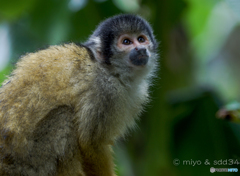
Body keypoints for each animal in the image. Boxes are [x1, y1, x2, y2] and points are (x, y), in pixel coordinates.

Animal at [0, 14, 159, 175]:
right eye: (126, 42)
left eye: (141, 39)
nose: (141, 49)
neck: (111, 71)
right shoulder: (103, 90)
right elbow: (90, 143)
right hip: (30, 163)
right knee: (64, 116)